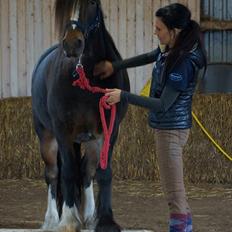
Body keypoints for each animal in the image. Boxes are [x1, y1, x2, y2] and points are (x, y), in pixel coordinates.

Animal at [31, 0, 130, 232]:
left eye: (92, 3)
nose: (72, 44)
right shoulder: (63, 132)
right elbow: (67, 172)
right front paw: (68, 221)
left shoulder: (109, 130)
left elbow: (103, 172)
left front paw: (105, 221)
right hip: (46, 136)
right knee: (53, 174)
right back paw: (52, 220)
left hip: (90, 139)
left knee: (86, 171)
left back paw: (89, 216)